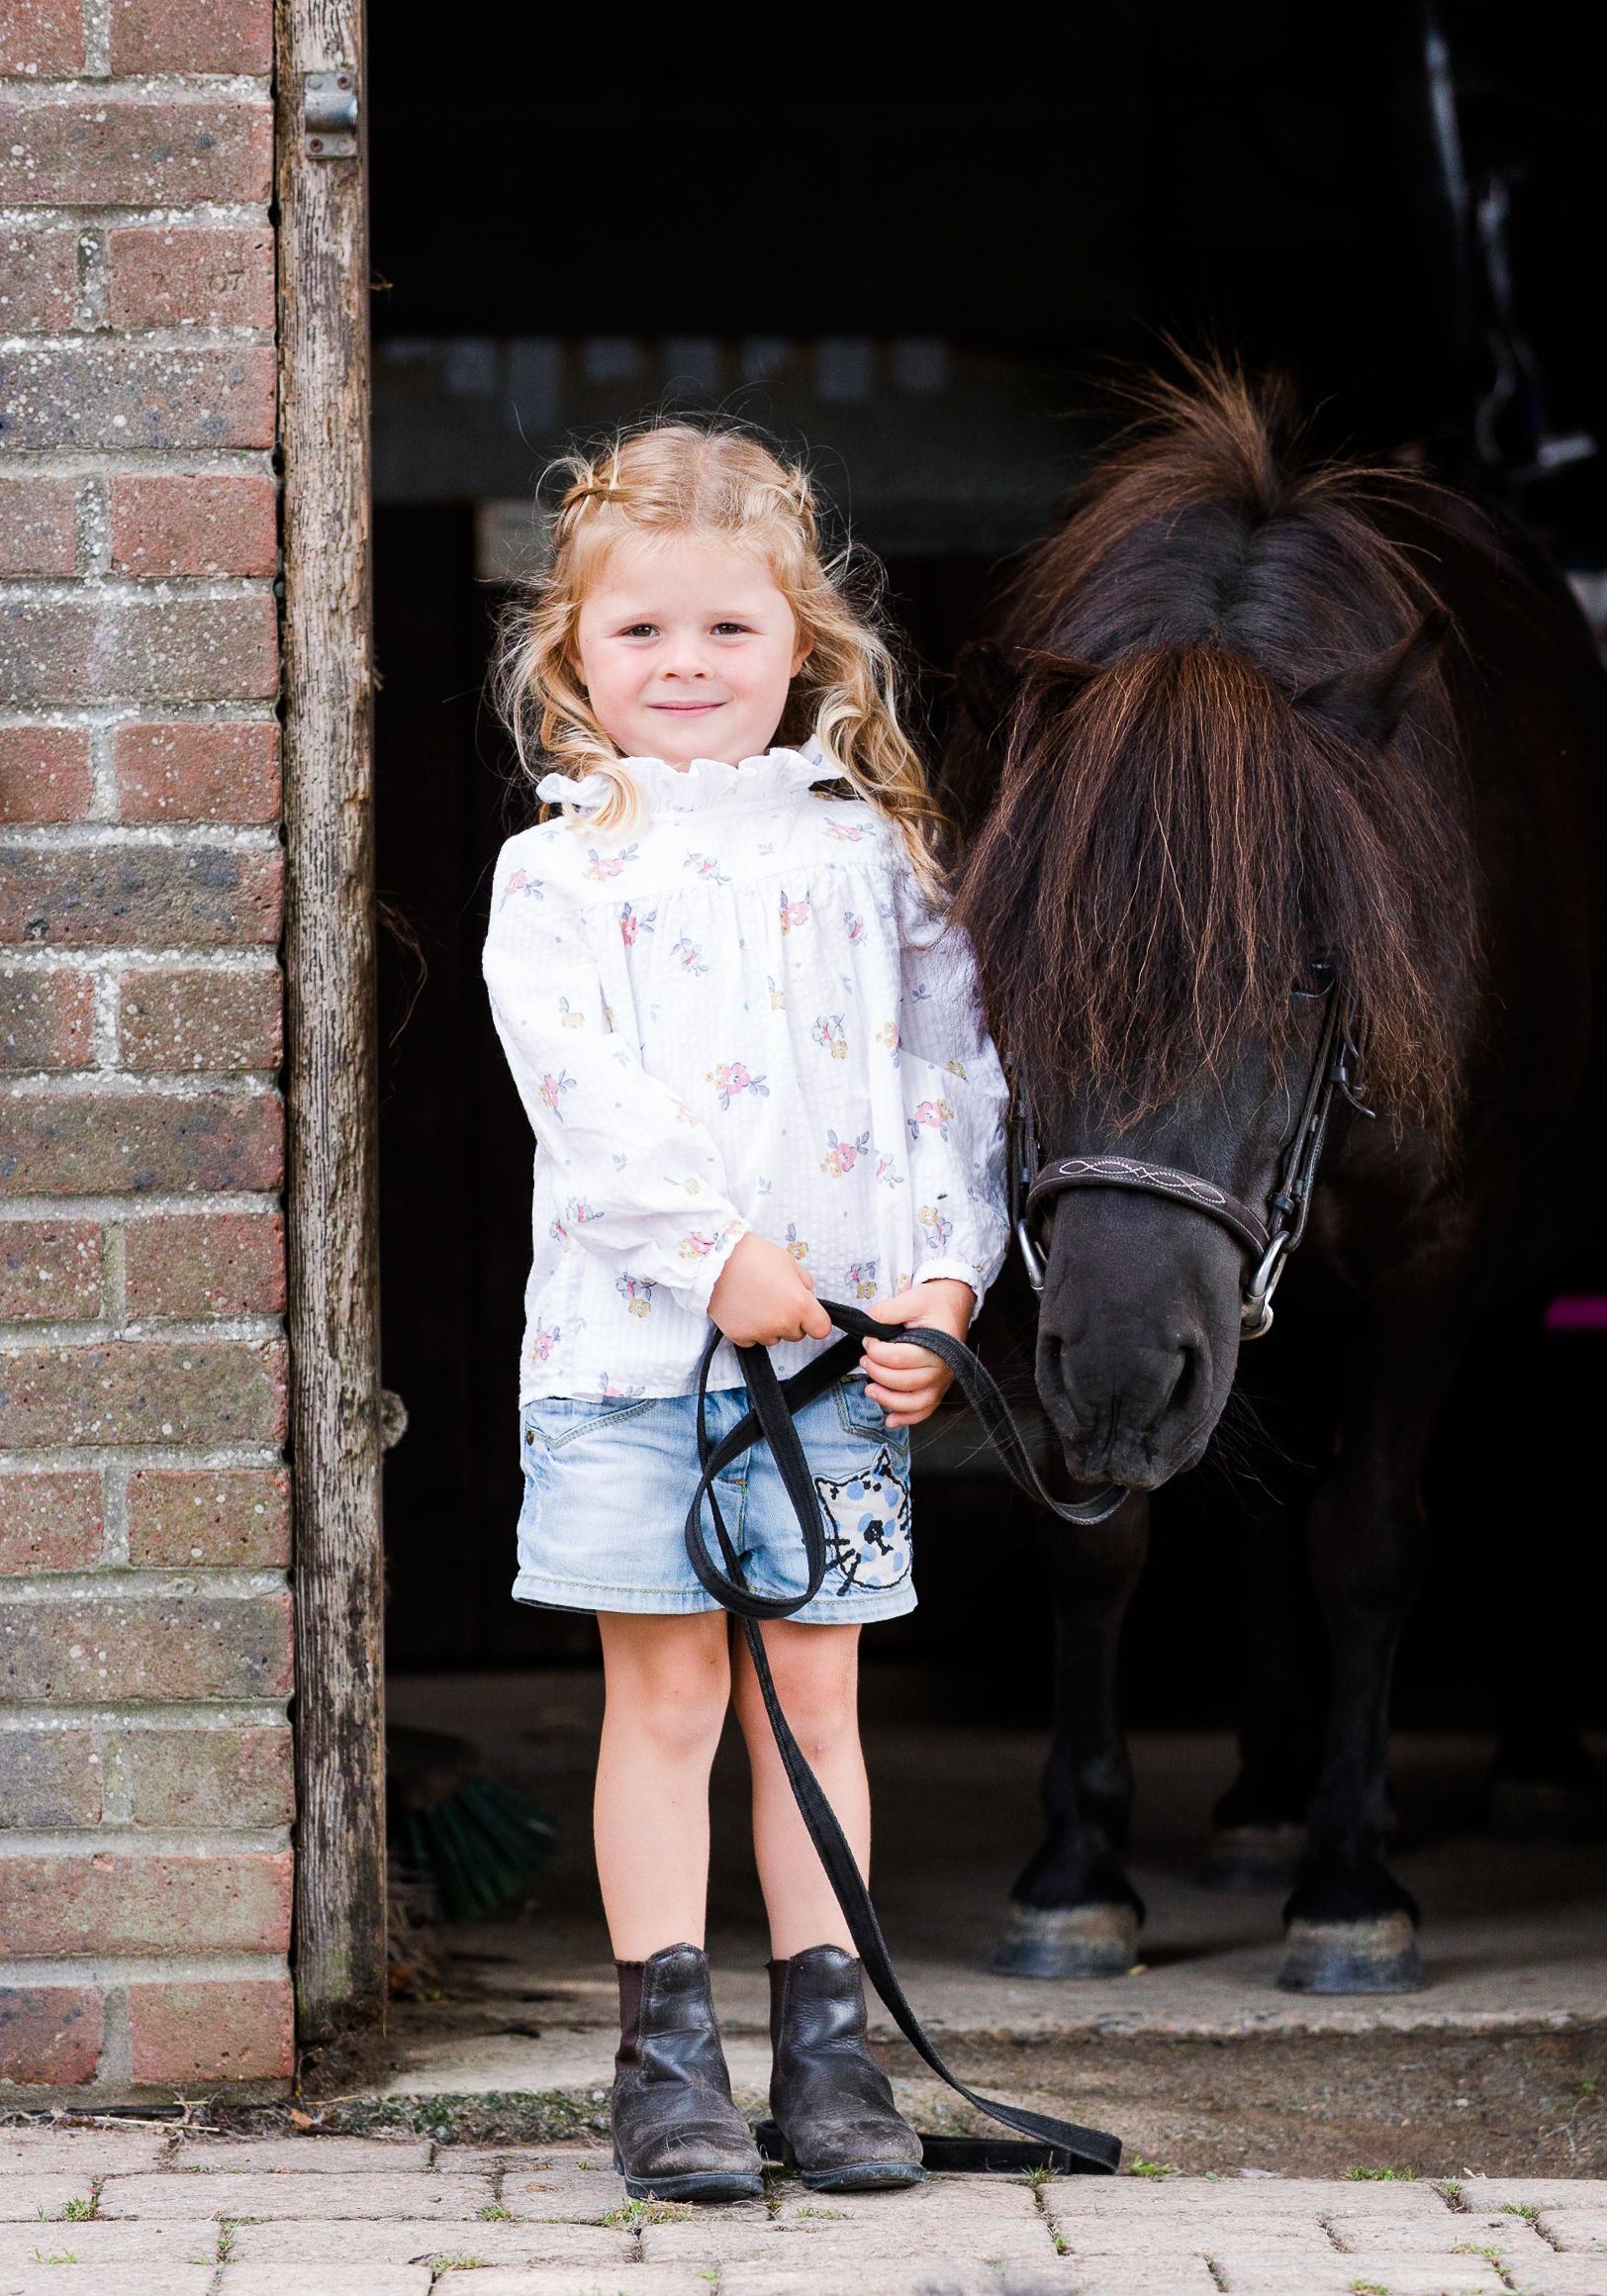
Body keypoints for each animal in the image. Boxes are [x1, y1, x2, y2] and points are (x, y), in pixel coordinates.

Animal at [947, 362, 1607, 1993]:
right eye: (1016, 971)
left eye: (1312, 977)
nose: (1125, 1370)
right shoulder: (1056, 1289)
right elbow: (1100, 1543)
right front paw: (1076, 1875)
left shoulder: (1430, 1266)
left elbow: (1367, 1540)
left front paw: (1353, 1885)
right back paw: (1256, 1799)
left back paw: (1535, 1765)